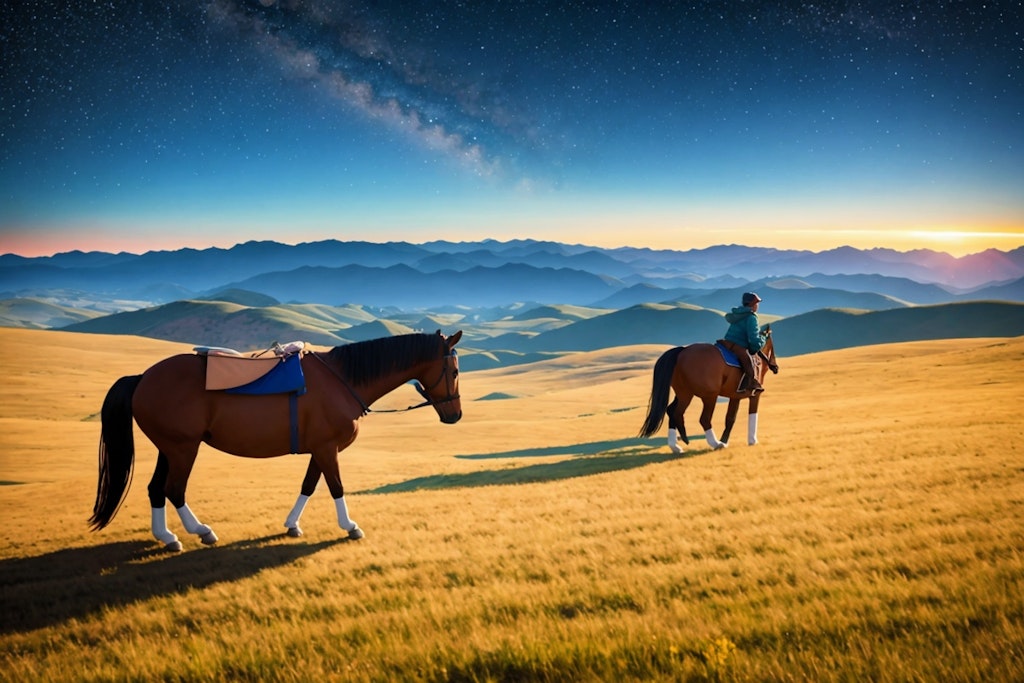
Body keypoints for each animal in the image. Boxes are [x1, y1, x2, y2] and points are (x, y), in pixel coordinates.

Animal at [88, 329, 464, 548]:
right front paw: (350, 526)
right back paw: (200, 531)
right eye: (455, 370)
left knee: (156, 489)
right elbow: (336, 487)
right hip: (183, 448)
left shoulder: (320, 448)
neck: (342, 379)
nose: (455, 415)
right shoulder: (328, 448)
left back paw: (166, 536)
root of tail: (142, 378)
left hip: (168, 448)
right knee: (173, 490)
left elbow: (309, 485)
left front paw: (292, 524)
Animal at [634, 327, 778, 454]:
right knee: (699, 418)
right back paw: (713, 443)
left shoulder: (735, 396)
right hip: (705, 396)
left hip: (683, 393)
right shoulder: (755, 395)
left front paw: (725, 440)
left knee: (671, 410)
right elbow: (752, 415)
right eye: (772, 348)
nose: (775, 367)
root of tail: (682, 351)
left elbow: (730, 419)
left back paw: (676, 446)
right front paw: (752, 440)